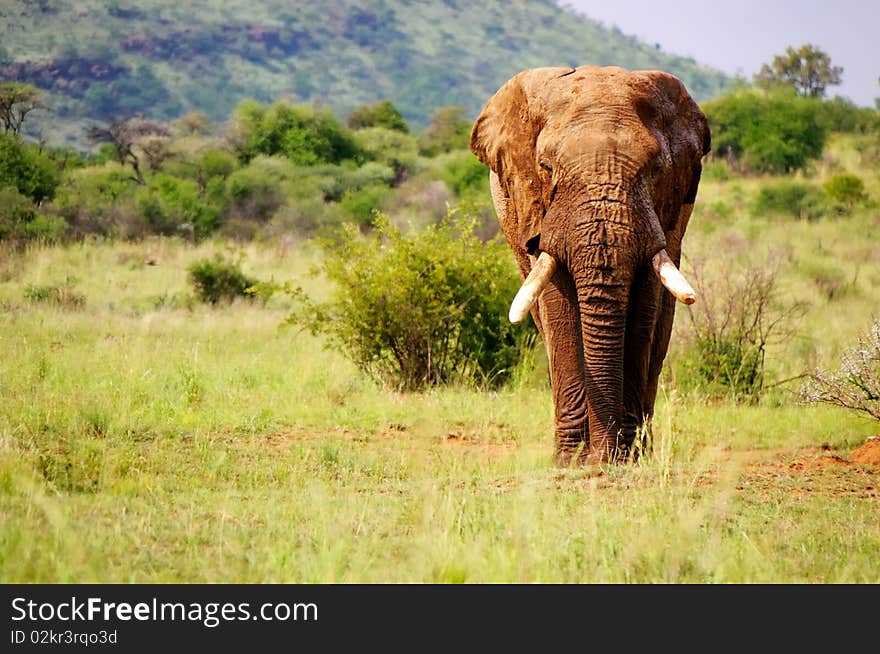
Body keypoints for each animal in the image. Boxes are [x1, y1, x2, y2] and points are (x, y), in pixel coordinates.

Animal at [470, 65, 712, 466]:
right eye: (546, 167)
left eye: (655, 169)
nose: (602, 455)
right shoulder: (536, 211)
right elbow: (558, 308)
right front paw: (572, 460)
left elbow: (644, 309)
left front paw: (621, 458)